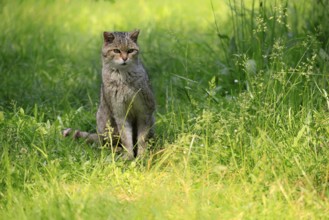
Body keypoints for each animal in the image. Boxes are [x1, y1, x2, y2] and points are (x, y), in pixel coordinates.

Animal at [65, 29, 156, 160]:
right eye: (116, 50)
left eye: (130, 50)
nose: (124, 58)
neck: (123, 78)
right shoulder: (121, 114)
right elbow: (126, 139)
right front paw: (129, 157)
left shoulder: (145, 112)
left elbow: (142, 139)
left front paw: (142, 156)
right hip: (105, 123)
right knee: (106, 144)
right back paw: (116, 150)